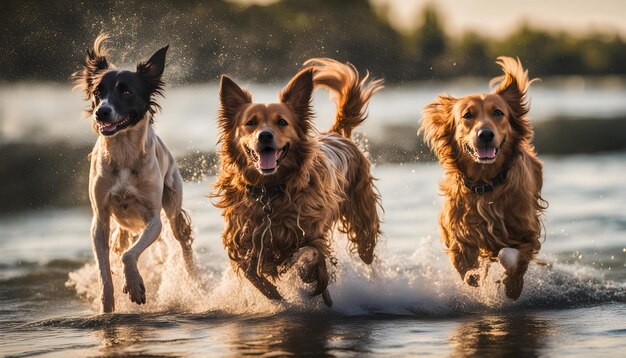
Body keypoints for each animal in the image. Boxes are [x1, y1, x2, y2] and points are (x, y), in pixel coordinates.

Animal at [75, 35, 194, 312]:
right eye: (98, 93)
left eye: (126, 91)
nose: (101, 111)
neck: (123, 153)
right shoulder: (100, 220)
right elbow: (104, 269)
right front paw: (107, 305)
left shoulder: (154, 220)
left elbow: (130, 255)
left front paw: (135, 285)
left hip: (173, 208)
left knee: (183, 246)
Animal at [212, 58, 382, 304]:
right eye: (251, 122)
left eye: (282, 122)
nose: (265, 135)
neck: (270, 191)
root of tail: (335, 132)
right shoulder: (241, 238)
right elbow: (250, 270)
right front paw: (273, 293)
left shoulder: (311, 232)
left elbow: (310, 253)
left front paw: (308, 275)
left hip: (362, 220)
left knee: (366, 250)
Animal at [420, 57, 544, 300]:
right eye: (468, 115)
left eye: (498, 113)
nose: (485, 134)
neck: (486, 185)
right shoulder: (458, 232)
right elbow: (463, 264)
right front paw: (474, 280)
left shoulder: (527, 230)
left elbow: (517, 259)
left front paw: (512, 287)